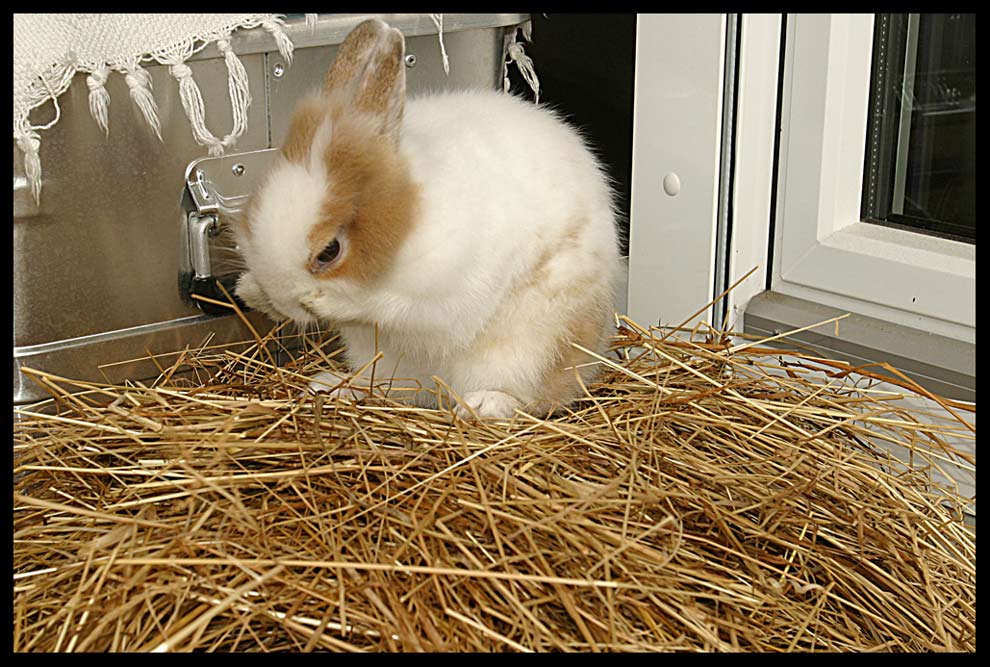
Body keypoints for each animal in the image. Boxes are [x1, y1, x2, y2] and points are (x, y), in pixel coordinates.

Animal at [232, 18, 620, 418]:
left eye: (329, 251)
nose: (281, 298)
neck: (406, 219)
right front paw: (249, 291)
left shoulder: (437, 293)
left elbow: (386, 307)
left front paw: (324, 303)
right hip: (382, 359)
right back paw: (334, 387)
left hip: (526, 349)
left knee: (530, 396)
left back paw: (483, 404)